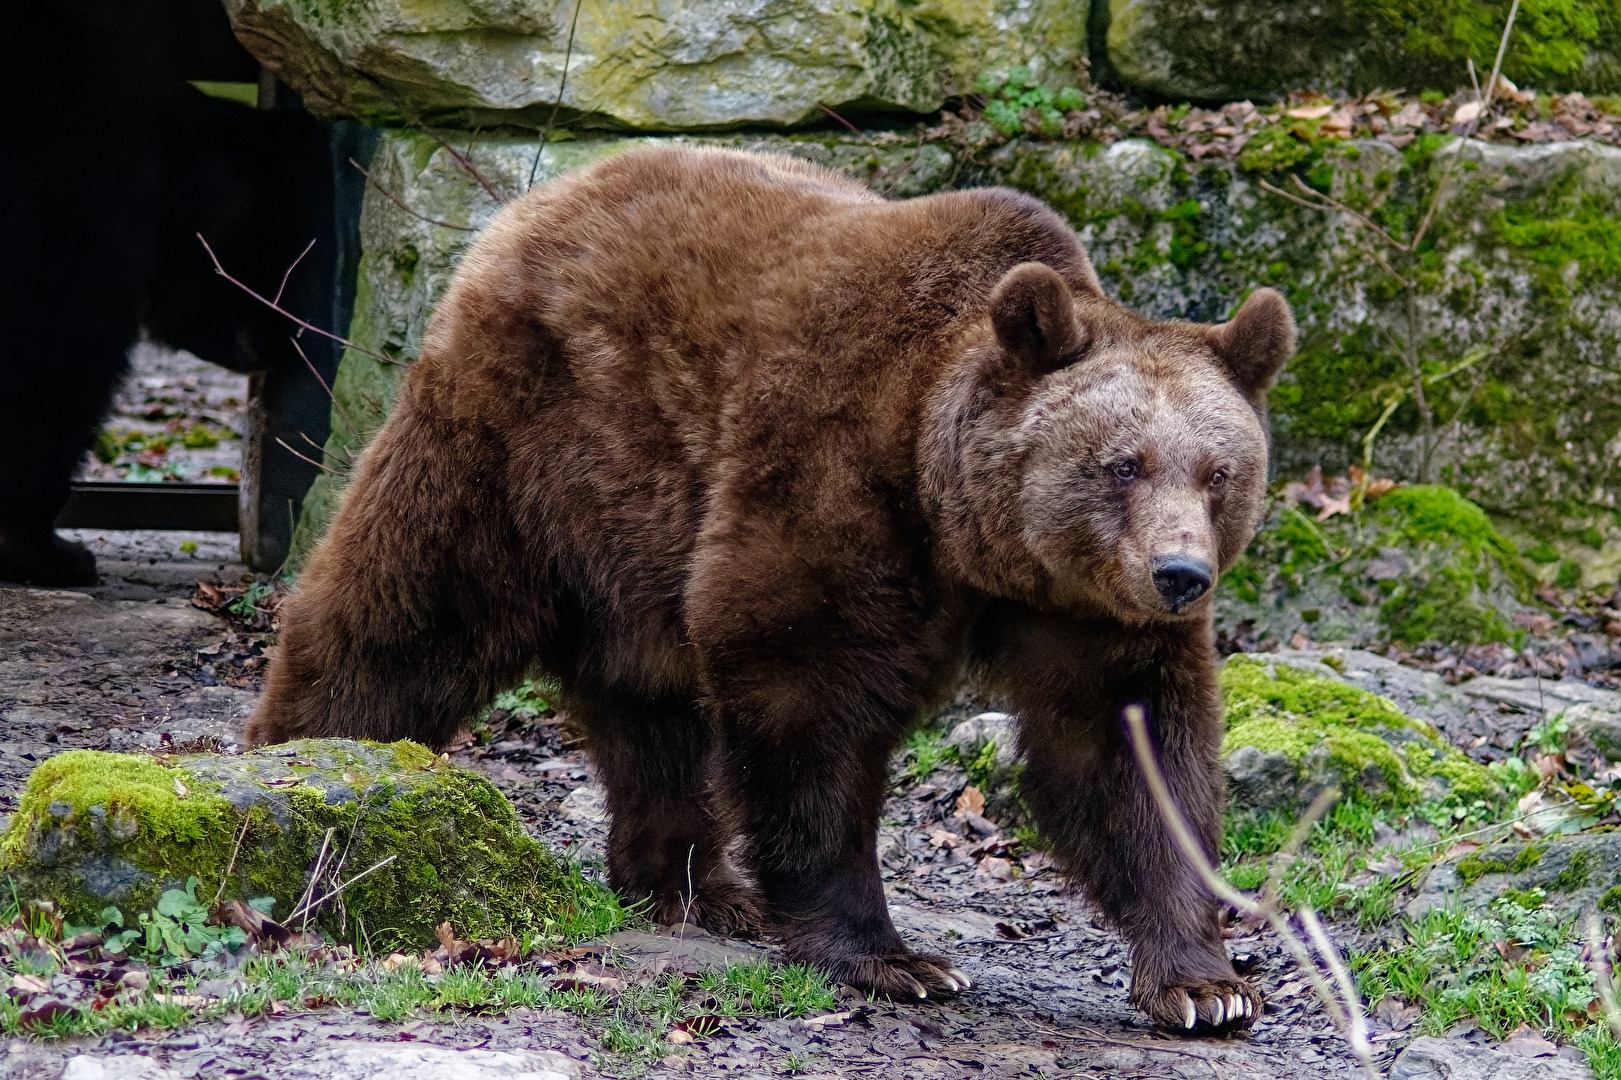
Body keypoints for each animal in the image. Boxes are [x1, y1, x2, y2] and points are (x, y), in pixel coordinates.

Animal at [249, 142, 1290, 1024]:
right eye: (1122, 464)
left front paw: (1203, 984)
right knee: (407, 611)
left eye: (1218, 471)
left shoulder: (1080, 606)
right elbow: (806, 693)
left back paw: (694, 887)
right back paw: (303, 765)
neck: (957, 513)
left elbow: (1126, 751)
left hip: (637, 533)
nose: (1180, 574)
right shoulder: (831, 477)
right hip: (524, 440)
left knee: (650, 706)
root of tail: (545, 195)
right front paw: (892, 958)